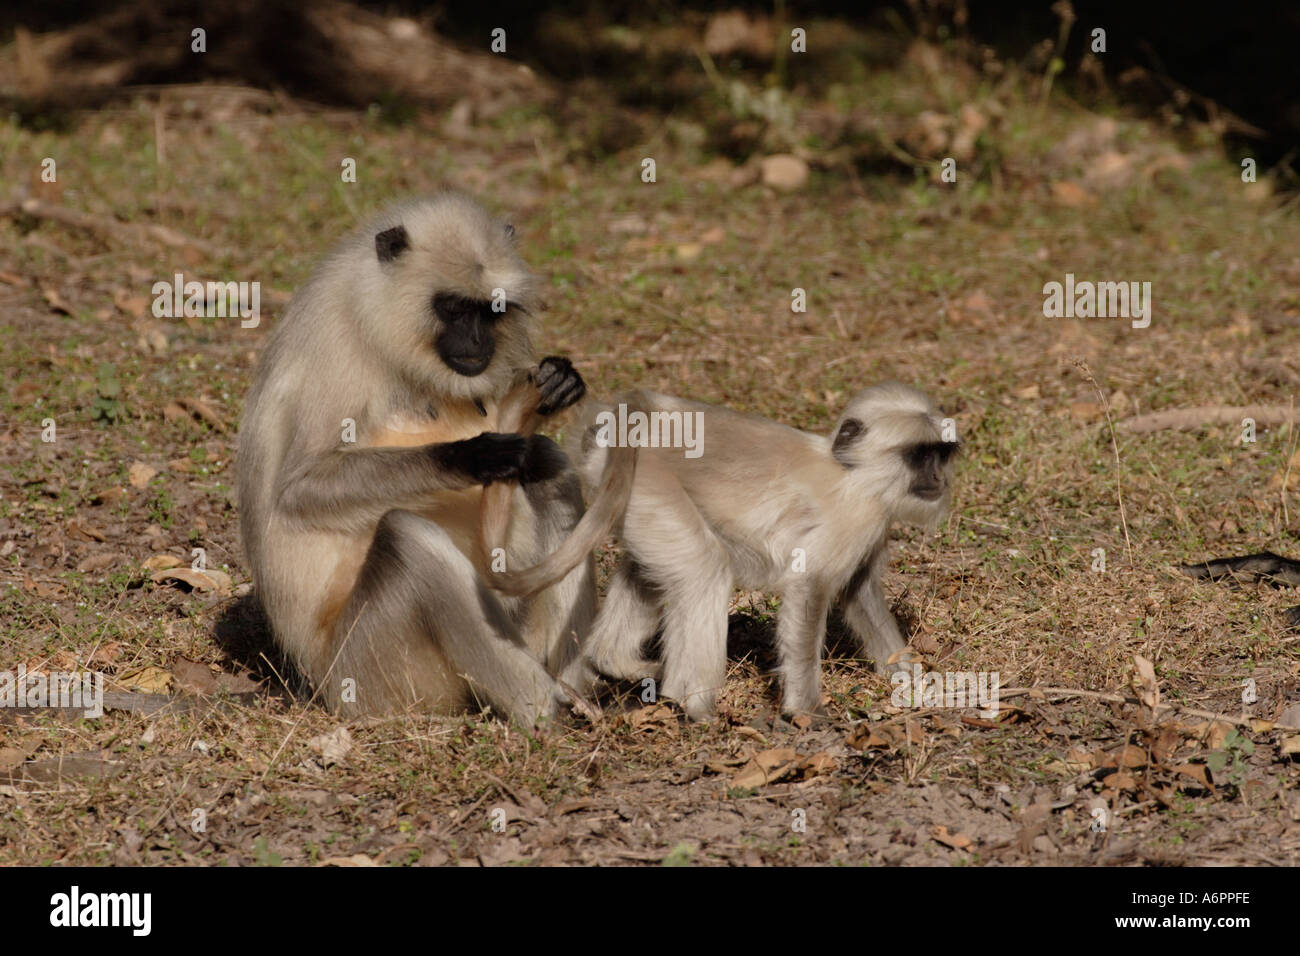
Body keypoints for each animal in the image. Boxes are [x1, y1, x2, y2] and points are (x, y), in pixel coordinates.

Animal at [239, 195, 595, 723]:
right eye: (454, 309)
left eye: (490, 312)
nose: (477, 343)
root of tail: (315, 679)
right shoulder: (336, 352)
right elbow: (299, 489)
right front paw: (475, 455)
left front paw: (557, 381)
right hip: (369, 673)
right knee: (409, 538)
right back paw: (545, 711)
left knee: (548, 464)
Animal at [478, 385, 956, 723]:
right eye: (919, 455)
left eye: (941, 454)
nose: (938, 479)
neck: (853, 473)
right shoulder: (856, 516)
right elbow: (811, 588)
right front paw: (805, 711)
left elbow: (859, 592)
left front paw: (915, 681)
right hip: (652, 481)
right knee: (704, 568)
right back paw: (693, 707)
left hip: (636, 496)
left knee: (653, 568)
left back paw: (614, 662)